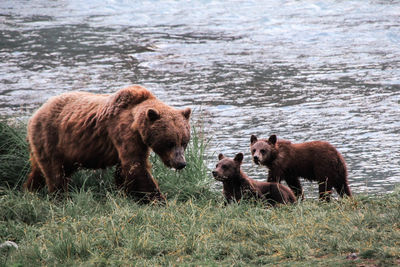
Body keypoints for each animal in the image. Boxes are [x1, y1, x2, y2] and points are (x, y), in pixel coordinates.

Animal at [23, 86, 192, 203]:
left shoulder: (136, 142)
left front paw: (125, 193)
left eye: (184, 142)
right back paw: (60, 197)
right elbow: (136, 166)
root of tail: (35, 114)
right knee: (55, 172)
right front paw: (160, 200)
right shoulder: (122, 132)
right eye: (169, 143)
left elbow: (124, 170)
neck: (136, 125)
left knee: (39, 170)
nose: (181, 163)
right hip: (51, 137)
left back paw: (30, 190)